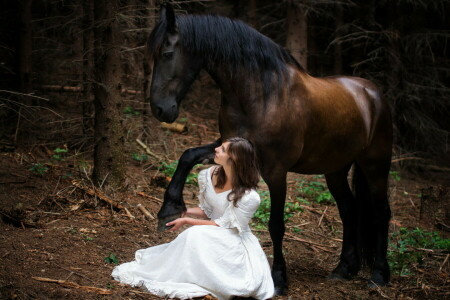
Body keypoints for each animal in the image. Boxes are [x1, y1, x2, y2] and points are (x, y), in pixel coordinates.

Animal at [146, 3, 392, 294]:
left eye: (167, 53)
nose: (159, 109)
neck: (262, 95)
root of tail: (373, 93)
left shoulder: (275, 171)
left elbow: (276, 225)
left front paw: (279, 278)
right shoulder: (226, 147)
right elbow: (187, 156)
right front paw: (169, 209)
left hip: (375, 165)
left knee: (381, 213)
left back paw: (379, 274)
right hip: (336, 170)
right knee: (349, 210)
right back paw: (345, 268)